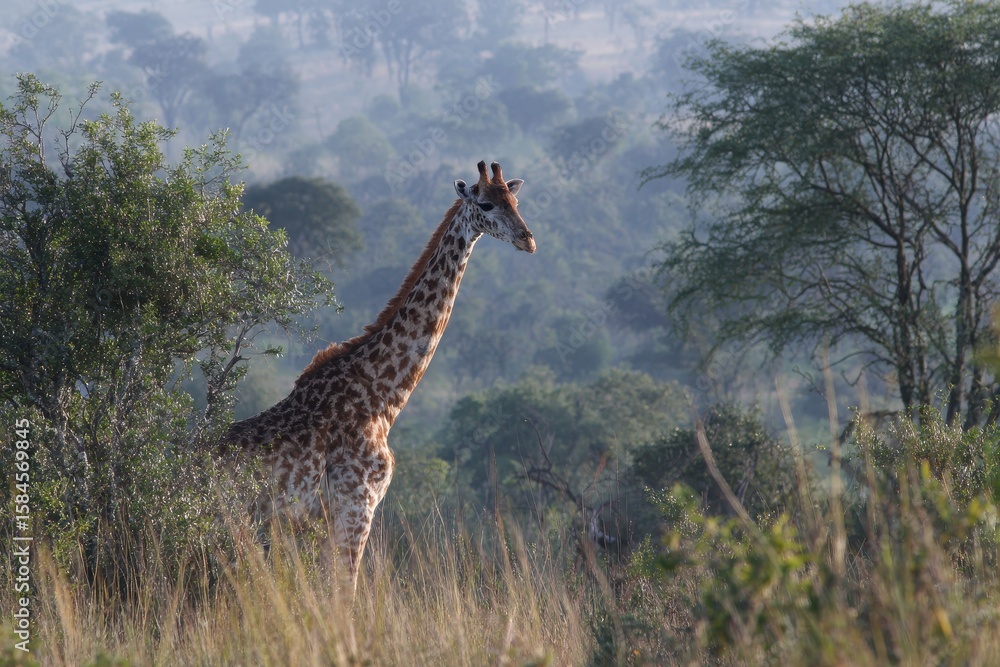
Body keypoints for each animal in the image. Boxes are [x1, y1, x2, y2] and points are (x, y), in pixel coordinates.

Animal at [220, 160, 535, 595]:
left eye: (516, 202)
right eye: (486, 204)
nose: (528, 240)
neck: (382, 395)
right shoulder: (357, 503)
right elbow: (344, 593)